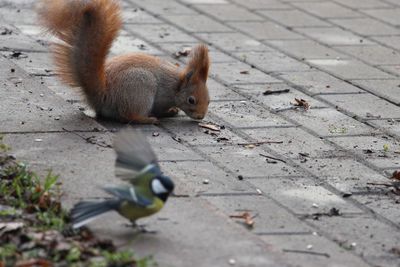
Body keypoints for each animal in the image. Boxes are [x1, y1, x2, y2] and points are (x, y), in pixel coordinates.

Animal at [36, 0, 211, 124]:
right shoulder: (161, 97)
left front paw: (173, 110)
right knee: (128, 116)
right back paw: (148, 119)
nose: (201, 116)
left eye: (209, 100)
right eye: (191, 100)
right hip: (140, 91)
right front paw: (168, 112)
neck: (176, 85)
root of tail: (103, 96)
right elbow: (160, 109)